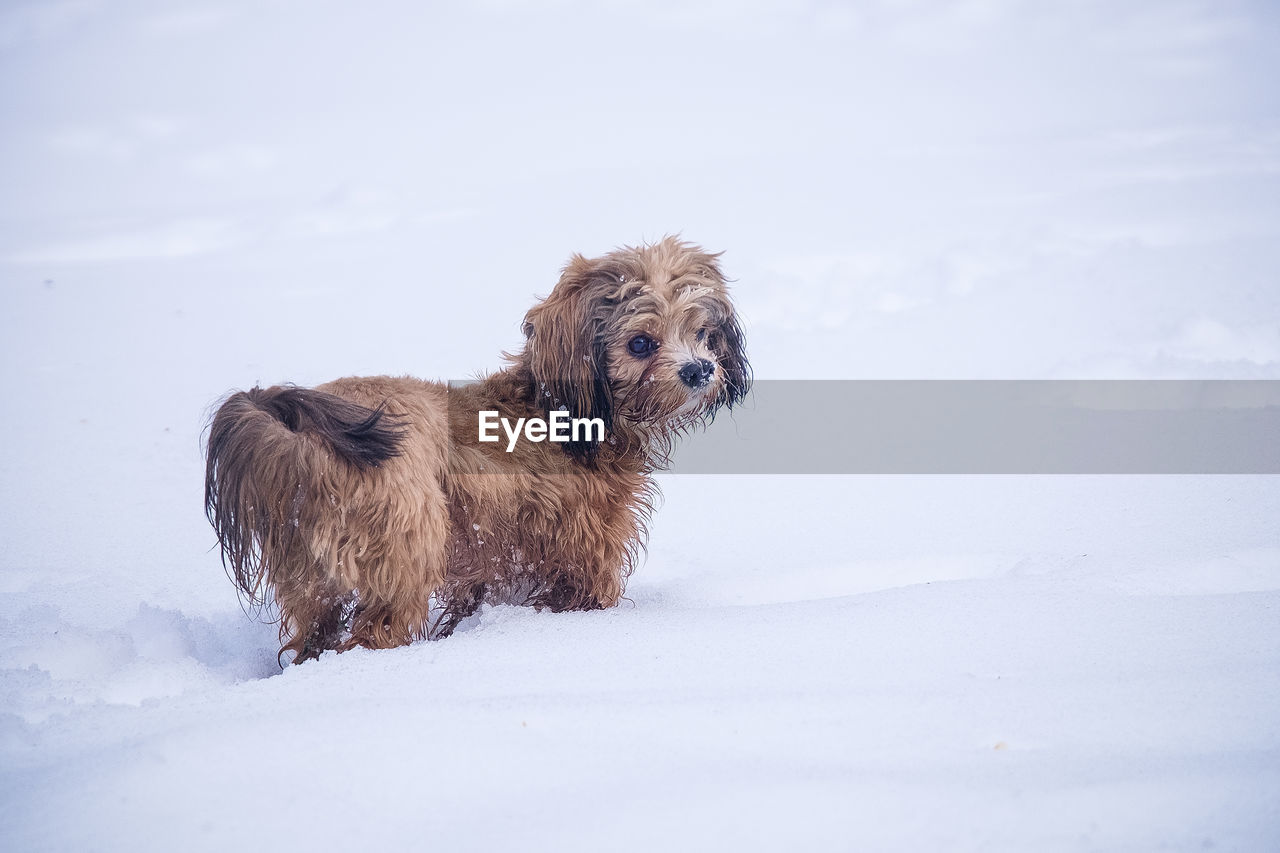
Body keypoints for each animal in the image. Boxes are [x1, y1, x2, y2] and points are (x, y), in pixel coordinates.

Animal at [202, 235, 747, 660]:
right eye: (640, 344)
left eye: (703, 332)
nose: (700, 370)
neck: (558, 410)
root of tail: (299, 427)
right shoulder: (586, 550)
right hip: (409, 541)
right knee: (375, 630)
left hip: (311, 576)